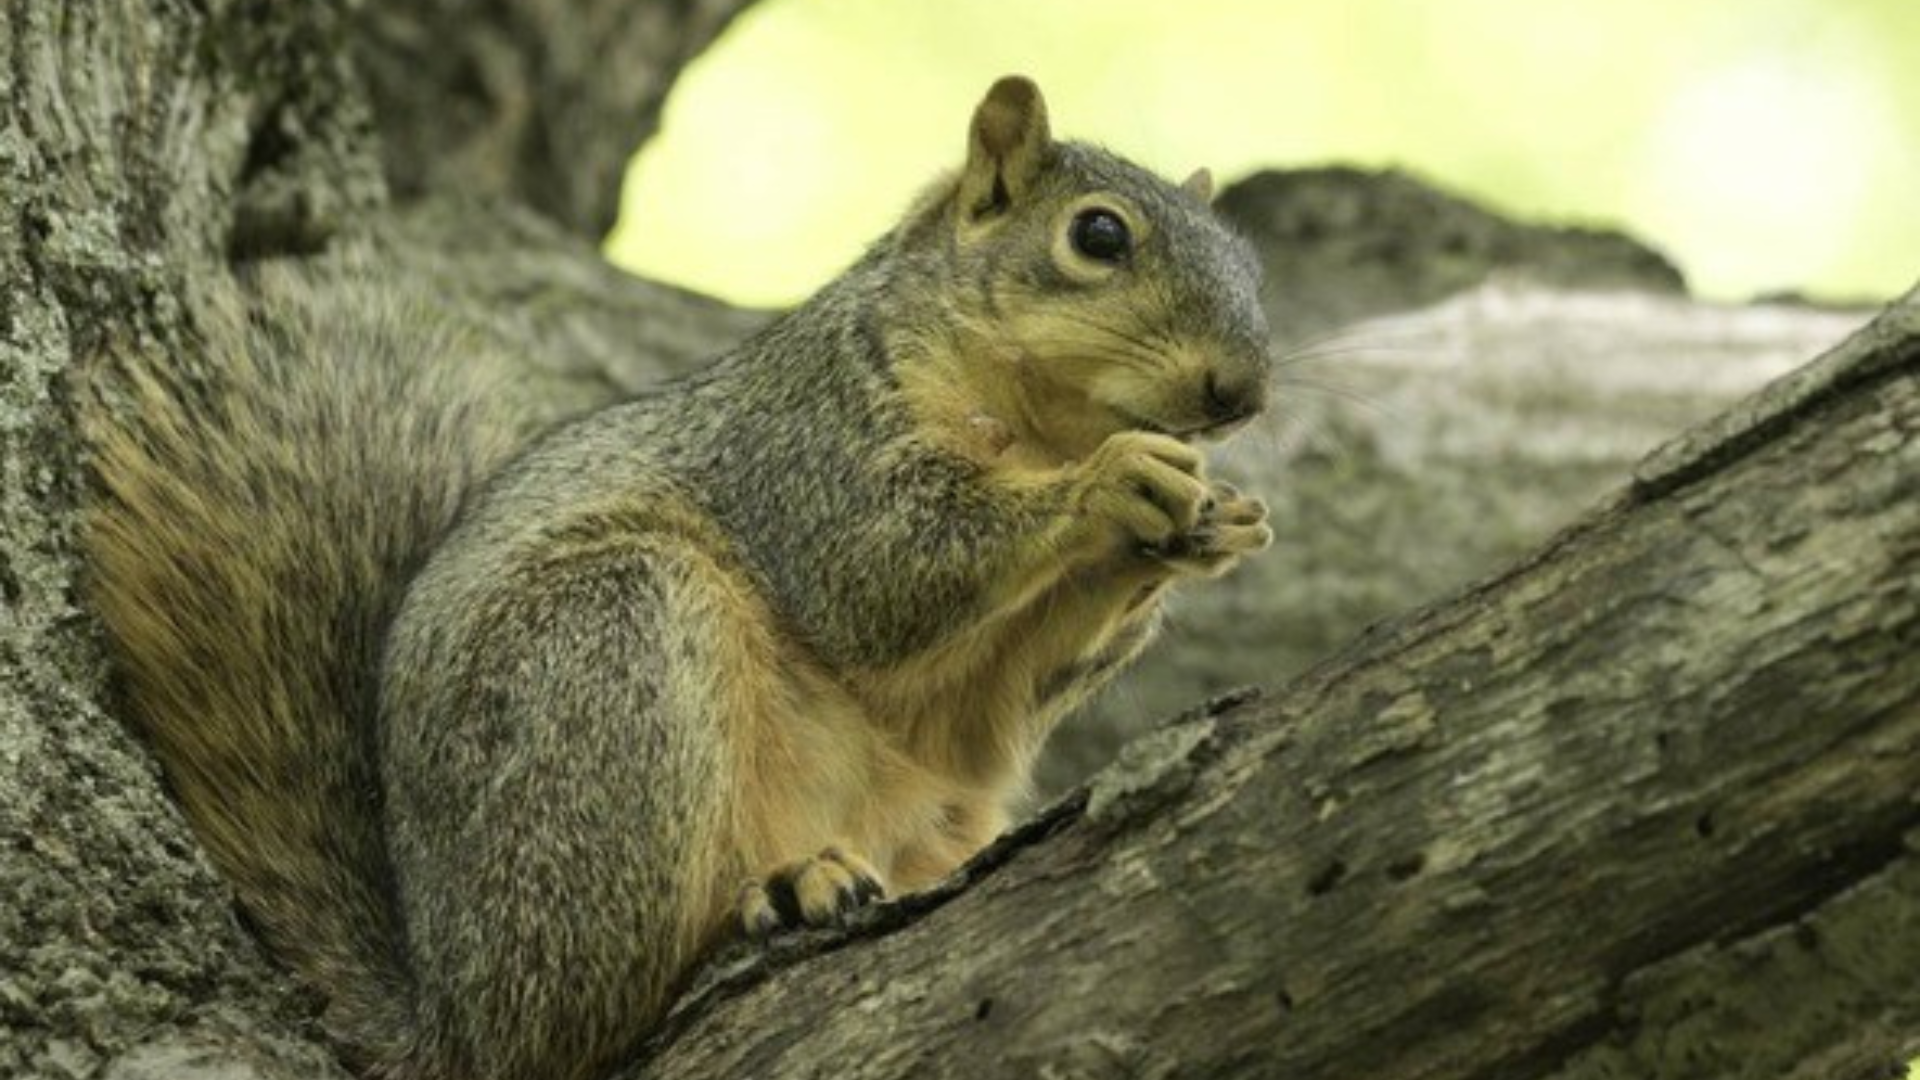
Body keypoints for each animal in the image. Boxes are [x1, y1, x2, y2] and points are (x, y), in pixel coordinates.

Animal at [82, 77, 1274, 1076]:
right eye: (1099, 235)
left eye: (1254, 267)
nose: (1242, 392)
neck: (1039, 419)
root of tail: (452, 1011)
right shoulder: (809, 445)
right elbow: (884, 568)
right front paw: (1110, 486)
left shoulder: (977, 711)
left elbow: (996, 705)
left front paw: (1205, 526)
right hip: (611, 656)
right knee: (583, 1012)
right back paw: (777, 892)